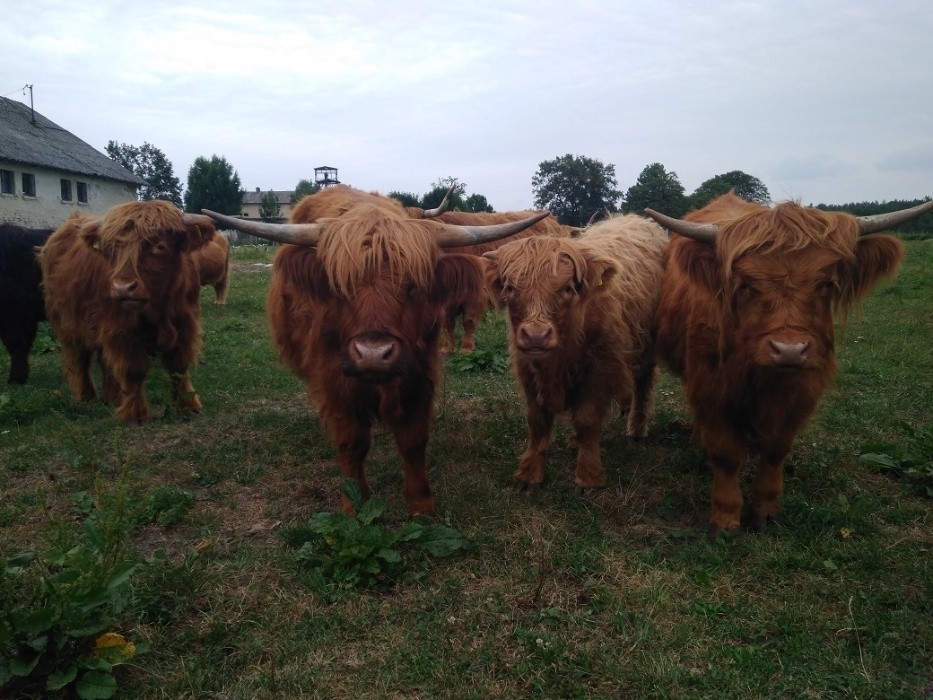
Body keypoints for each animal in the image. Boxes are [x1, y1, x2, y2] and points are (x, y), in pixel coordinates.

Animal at [39, 201, 216, 423]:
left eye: (160, 246)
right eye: (110, 249)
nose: (122, 288)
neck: (157, 306)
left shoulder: (185, 323)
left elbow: (179, 366)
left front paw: (189, 406)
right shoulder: (121, 328)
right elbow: (133, 370)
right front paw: (134, 414)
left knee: (105, 361)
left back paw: (114, 397)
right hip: (67, 322)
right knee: (79, 360)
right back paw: (86, 399)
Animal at [202, 193, 549, 515]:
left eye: (413, 285)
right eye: (338, 286)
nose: (372, 354)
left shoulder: (419, 375)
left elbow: (413, 441)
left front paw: (422, 505)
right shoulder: (334, 381)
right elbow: (351, 443)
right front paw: (355, 504)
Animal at [482, 214, 667, 492]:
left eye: (567, 288)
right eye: (510, 288)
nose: (536, 335)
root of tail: (634, 218)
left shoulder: (600, 369)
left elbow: (587, 419)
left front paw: (588, 476)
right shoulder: (527, 369)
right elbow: (537, 421)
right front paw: (529, 474)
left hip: (647, 345)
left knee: (643, 382)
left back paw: (636, 430)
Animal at [645, 192, 932, 537]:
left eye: (827, 284)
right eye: (745, 285)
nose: (790, 350)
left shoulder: (802, 393)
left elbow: (776, 451)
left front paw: (767, 511)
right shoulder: (709, 386)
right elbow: (726, 455)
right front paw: (726, 518)